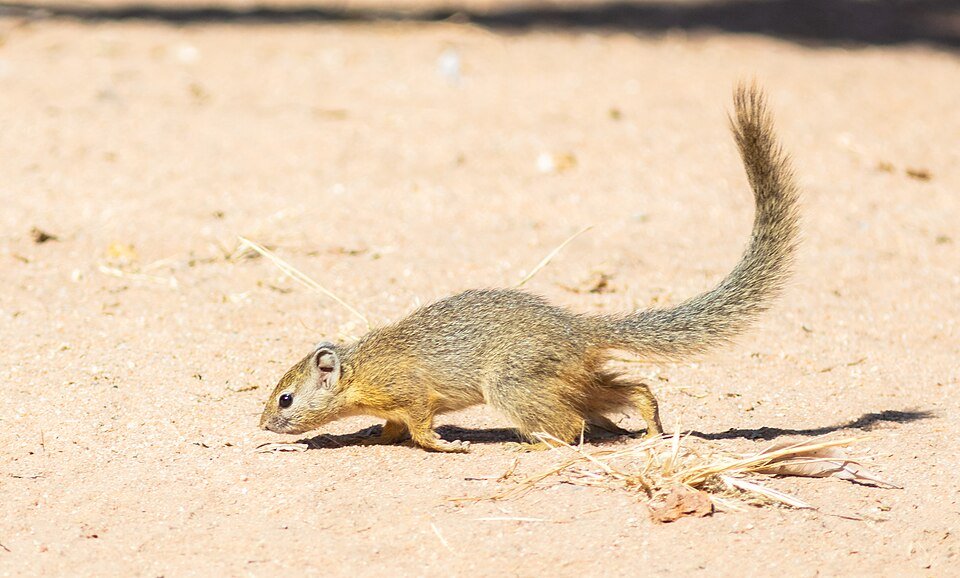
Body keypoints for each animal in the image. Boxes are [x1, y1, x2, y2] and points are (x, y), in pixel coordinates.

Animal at [259, 83, 800, 453]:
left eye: (285, 399)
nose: (261, 424)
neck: (363, 368)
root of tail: (578, 329)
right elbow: (393, 428)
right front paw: (377, 436)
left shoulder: (411, 394)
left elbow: (421, 429)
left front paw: (448, 445)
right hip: (568, 380)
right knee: (634, 390)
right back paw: (648, 431)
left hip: (512, 383)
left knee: (571, 426)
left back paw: (537, 444)